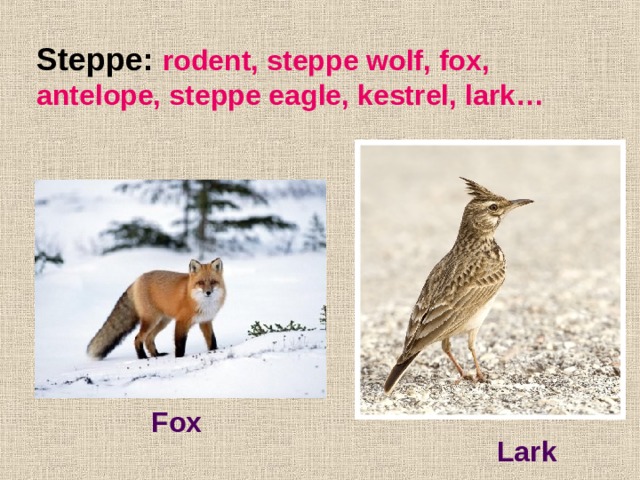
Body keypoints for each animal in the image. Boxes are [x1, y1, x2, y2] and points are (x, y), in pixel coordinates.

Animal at [87, 258, 226, 360]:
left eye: (213, 282)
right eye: (201, 283)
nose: (208, 292)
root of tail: (136, 280)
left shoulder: (205, 321)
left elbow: (212, 340)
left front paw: (214, 351)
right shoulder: (181, 322)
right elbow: (180, 344)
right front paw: (179, 359)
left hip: (162, 321)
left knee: (149, 339)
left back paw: (156, 355)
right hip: (151, 320)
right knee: (138, 338)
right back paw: (142, 357)